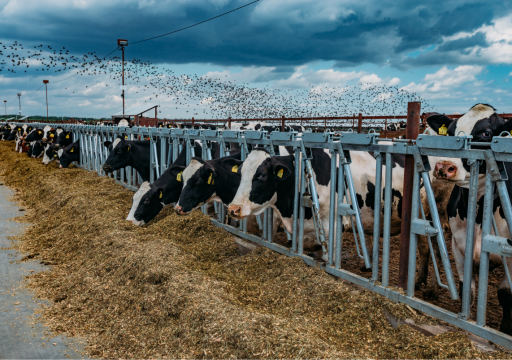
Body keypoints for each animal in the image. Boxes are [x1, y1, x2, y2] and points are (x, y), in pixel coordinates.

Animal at [426, 103, 512, 334]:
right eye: (451, 133)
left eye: (487, 133)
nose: (444, 167)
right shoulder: (459, 246)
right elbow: (467, 289)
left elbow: (506, 294)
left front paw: (504, 331)